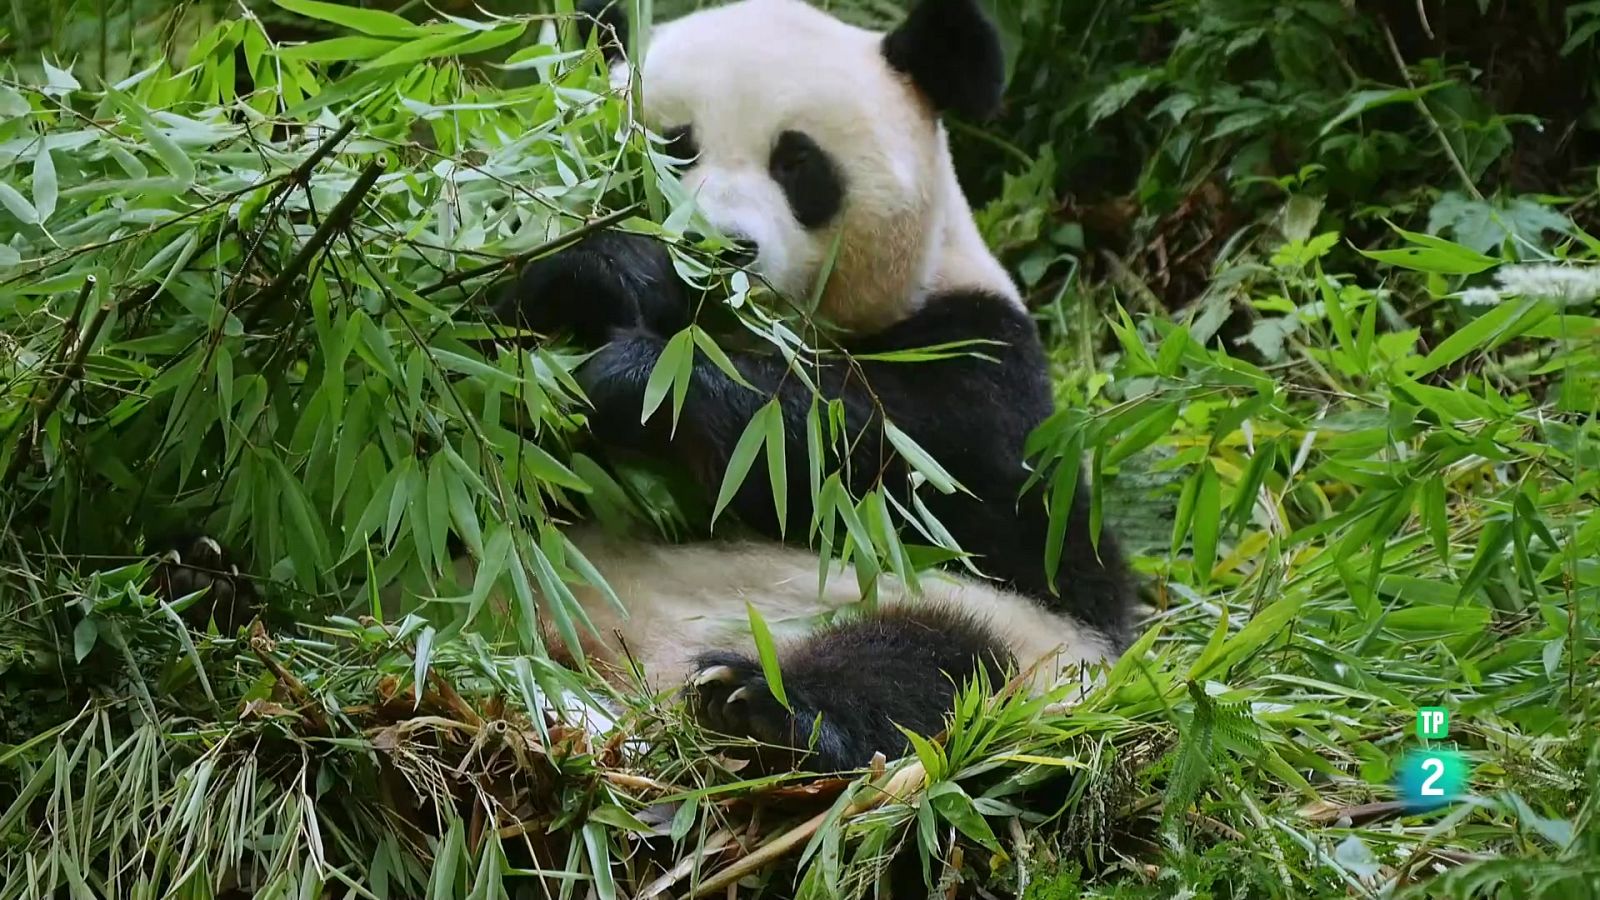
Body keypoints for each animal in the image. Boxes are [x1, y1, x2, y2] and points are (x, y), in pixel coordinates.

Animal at [155, 0, 1137, 773]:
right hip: (426, 579)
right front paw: (596, 286)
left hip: (983, 636)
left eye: (799, 163)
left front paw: (631, 382)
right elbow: (455, 415)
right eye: (675, 146)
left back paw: (757, 708)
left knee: (931, 666)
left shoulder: (981, 354)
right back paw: (206, 583)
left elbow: (921, 474)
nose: (717, 250)